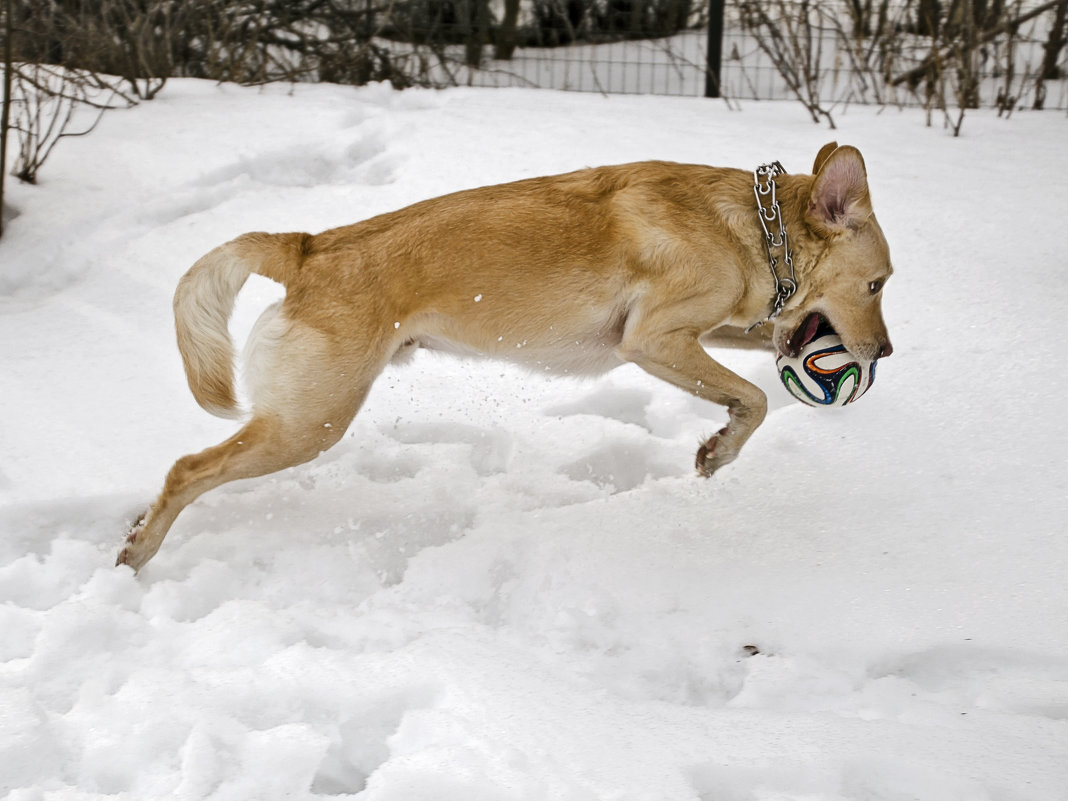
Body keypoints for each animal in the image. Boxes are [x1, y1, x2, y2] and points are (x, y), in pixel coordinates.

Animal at [119, 143, 892, 572]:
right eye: (879, 284)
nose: (884, 351)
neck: (753, 228)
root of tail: (308, 246)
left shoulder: (711, 331)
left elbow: (755, 366)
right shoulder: (652, 341)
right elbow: (753, 399)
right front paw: (719, 449)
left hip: (303, 421)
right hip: (309, 424)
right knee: (187, 469)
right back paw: (139, 550)